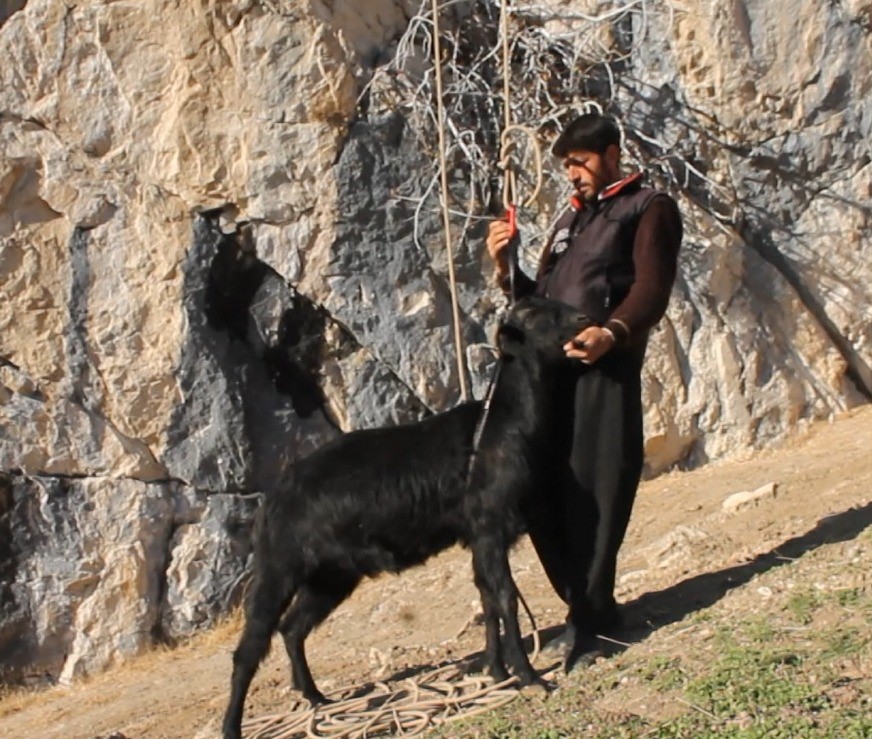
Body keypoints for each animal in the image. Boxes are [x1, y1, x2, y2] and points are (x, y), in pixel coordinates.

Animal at [223, 296, 592, 739]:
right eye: (534, 314)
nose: (585, 317)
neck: (503, 424)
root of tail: (272, 498)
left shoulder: (477, 536)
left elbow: (487, 597)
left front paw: (497, 672)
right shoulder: (489, 528)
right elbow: (505, 597)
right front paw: (529, 677)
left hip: (331, 575)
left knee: (293, 627)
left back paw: (317, 699)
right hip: (279, 568)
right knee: (251, 646)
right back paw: (232, 725)